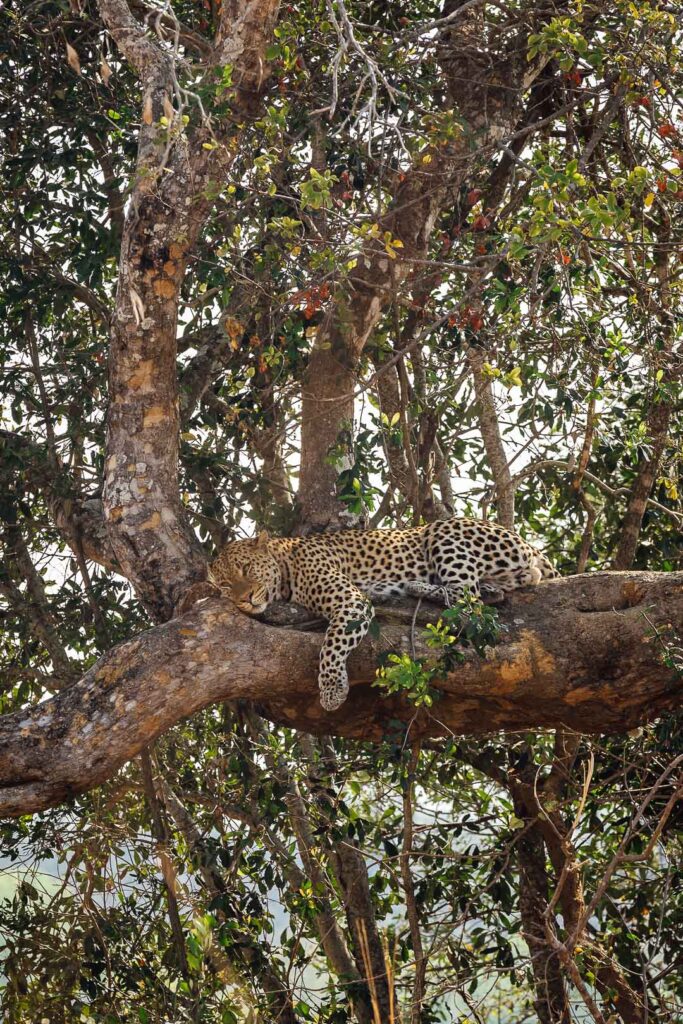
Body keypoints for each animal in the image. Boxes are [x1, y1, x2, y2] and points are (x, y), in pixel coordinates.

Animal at [210, 520, 557, 712]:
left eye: (246, 569)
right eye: (225, 585)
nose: (244, 599)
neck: (284, 565)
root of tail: (528, 544)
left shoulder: (350, 602)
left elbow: (331, 646)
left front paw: (332, 689)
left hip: (443, 532)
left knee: (467, 601)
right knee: (491, 592)